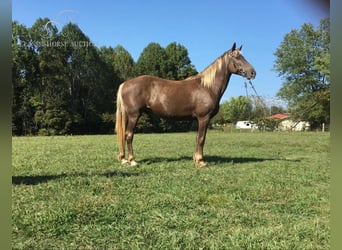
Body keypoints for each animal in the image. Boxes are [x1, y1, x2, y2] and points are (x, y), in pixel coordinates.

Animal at [116, 42, 255, 168]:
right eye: (237, 57)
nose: (253, 73)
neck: (207, 87)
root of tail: (125, 84)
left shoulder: (199, 120)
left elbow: (198, 138)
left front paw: (196, 159)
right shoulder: (203, 118)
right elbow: (201, 139)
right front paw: (201, 161)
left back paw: (124, 159)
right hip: (134, 115)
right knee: (129, 135)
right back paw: (132, 161)